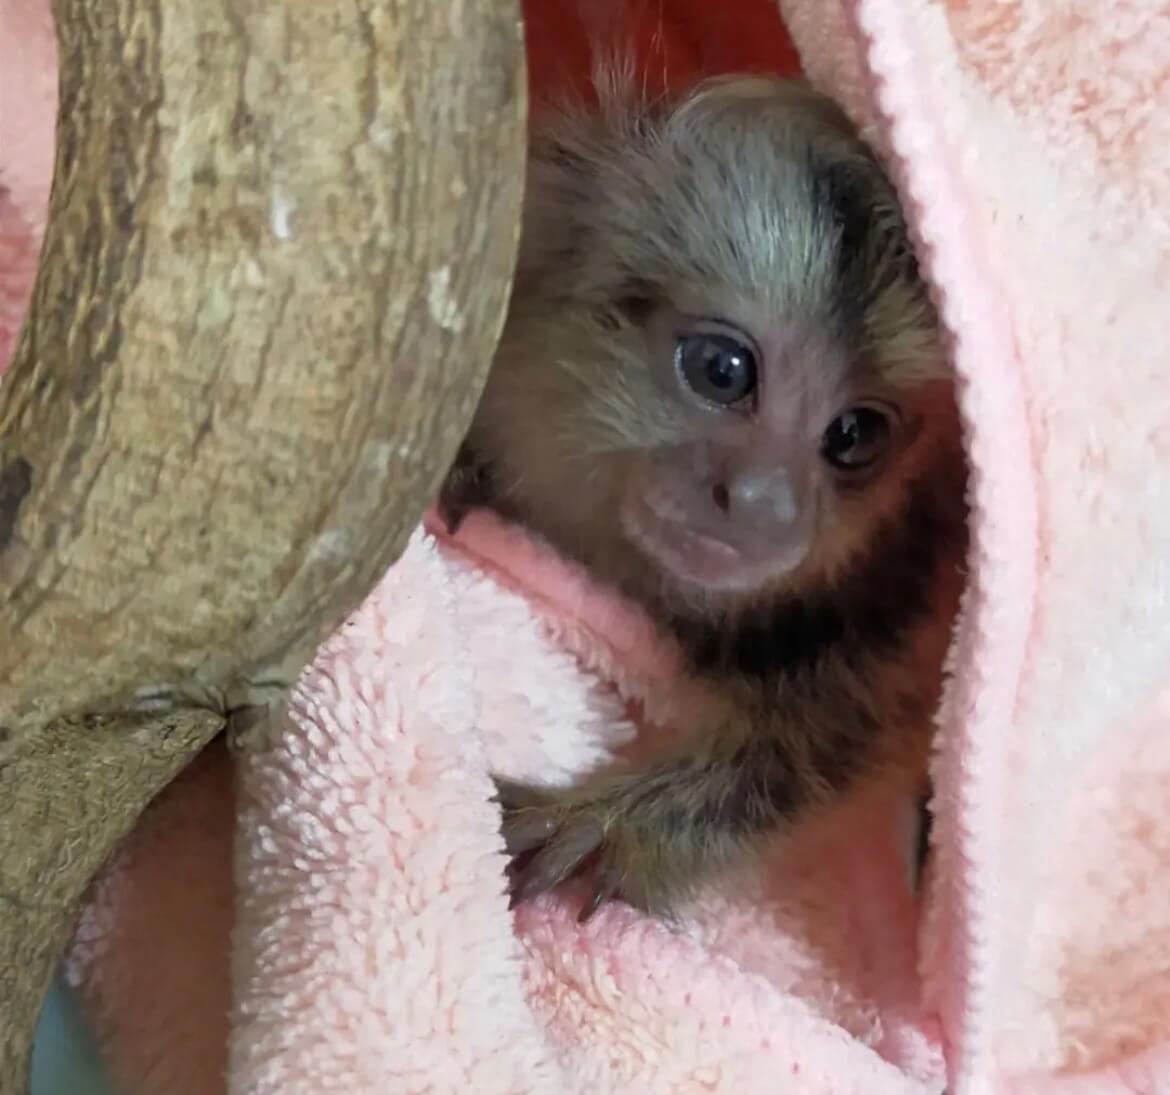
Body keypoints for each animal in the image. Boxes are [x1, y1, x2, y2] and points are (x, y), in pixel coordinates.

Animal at [439, 72, 968, 922]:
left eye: (854, 434)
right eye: (723, 370)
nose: (763, 503)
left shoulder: (904, 596)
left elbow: (842, 738)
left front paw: (614, 827)